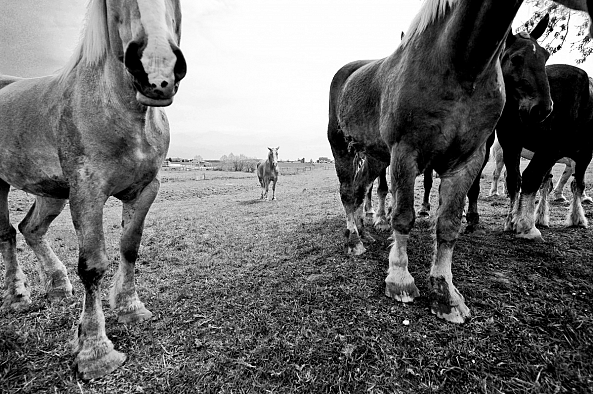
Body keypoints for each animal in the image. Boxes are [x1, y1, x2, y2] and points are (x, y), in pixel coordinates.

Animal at [0, 0, 185, 380]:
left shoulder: (146, 190)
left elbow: (130, 248)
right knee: (7, 233)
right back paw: (16, 295)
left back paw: (57, 286)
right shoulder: (87, 192)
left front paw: (131, 308)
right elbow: (93, 266)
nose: (157, 72)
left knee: (30, 228)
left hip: (50, 192)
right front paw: (95, 351)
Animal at [328, 1, 592, 324]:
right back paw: (354, 241)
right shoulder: (406, 153)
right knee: (348, 192)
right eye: (516, 58)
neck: (459, 66)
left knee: (359, 190)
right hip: (343, 148)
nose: (543, 108)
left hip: (378, 157)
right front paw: (399, 279)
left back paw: (362, 230)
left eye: (545, 57)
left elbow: (449, 224)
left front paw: (446, 294)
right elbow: (402, 216)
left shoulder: (468, 161)